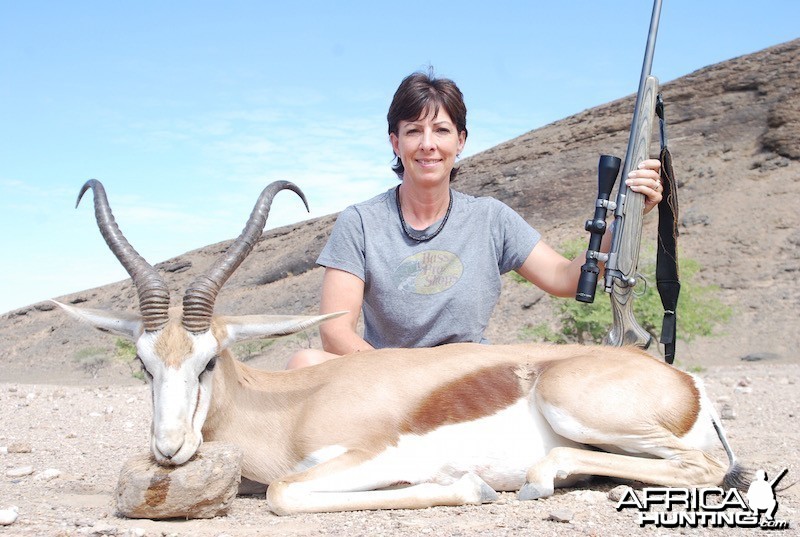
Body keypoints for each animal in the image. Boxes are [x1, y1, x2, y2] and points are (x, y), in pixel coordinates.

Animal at [57, 180, 752, 516]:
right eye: (144, 364)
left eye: (206, 363)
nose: (169, 449)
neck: (288, 408)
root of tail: (687, 382)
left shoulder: (370, 454)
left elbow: (285, 494)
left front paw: (470, 488)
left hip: (573, 404)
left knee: (708, 468)